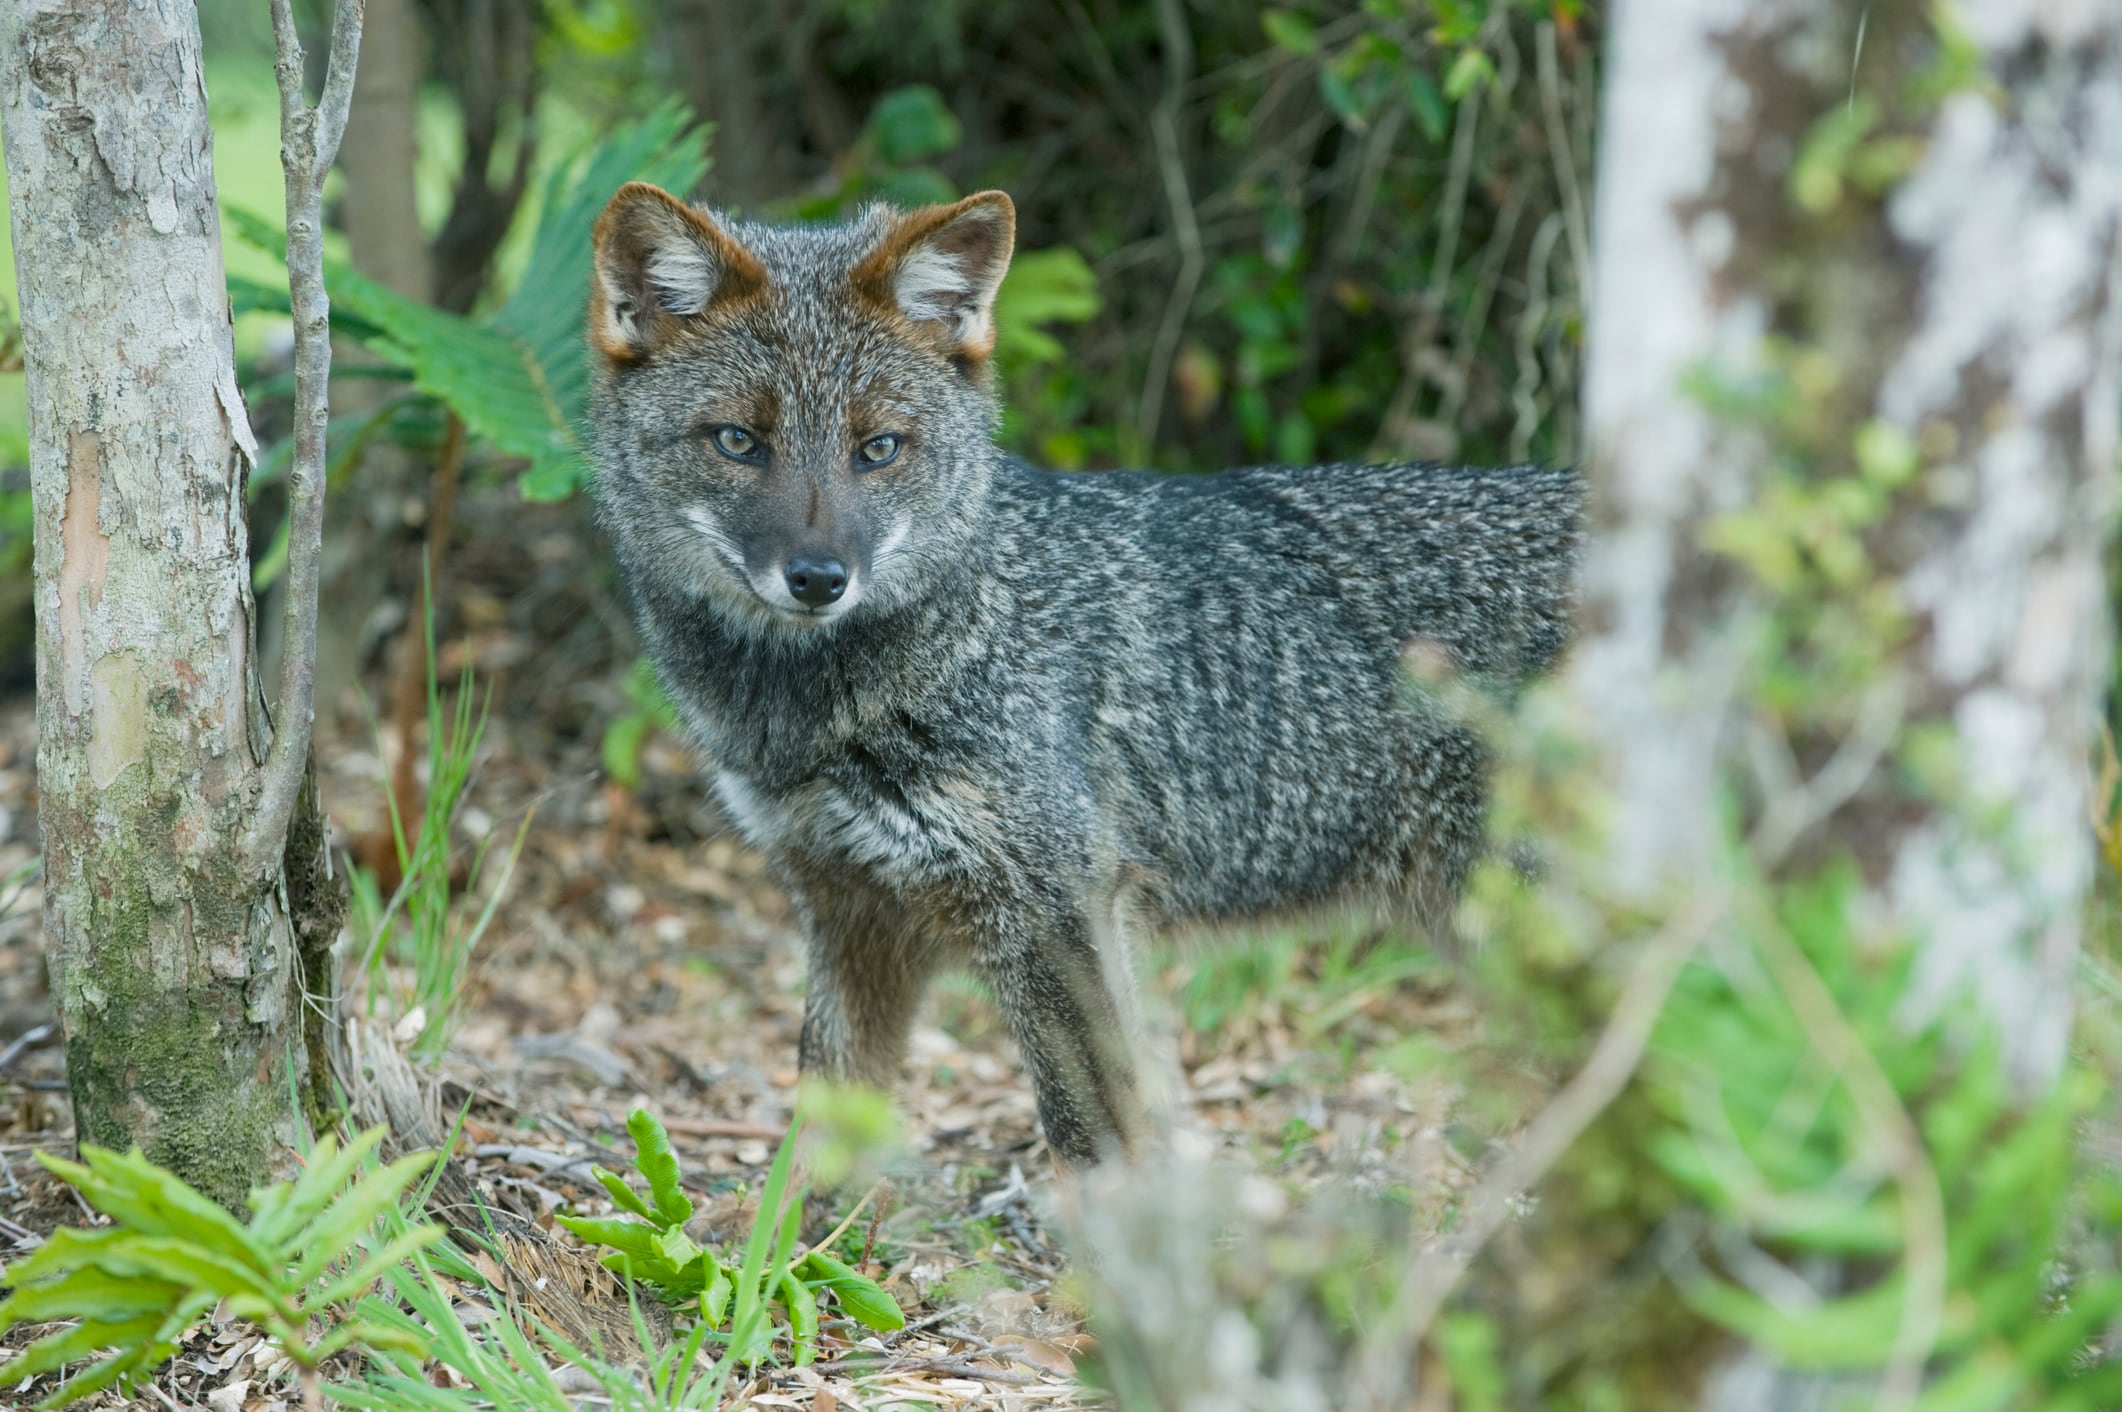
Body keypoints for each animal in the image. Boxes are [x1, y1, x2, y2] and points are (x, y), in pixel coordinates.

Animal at [586, 182, 1581, 1166]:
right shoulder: (850, 911)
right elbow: (817, 1142)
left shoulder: (1061, 911)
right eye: (738, 442)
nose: (821, 579)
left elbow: (1101, 1143)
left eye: (878, 449)